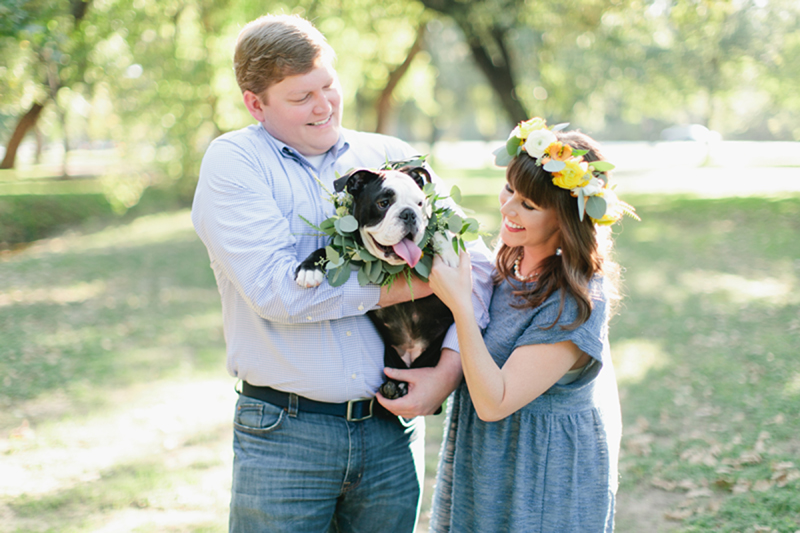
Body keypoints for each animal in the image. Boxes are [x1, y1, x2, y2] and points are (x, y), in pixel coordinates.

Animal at [296, 166, 460, 400]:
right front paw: (309, 269)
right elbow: (325, 250)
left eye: (420, 203)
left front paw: (448, 252)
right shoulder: (347, 250)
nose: (409, 214)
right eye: (383, 203)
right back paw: (394, 387)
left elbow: (438, 229)